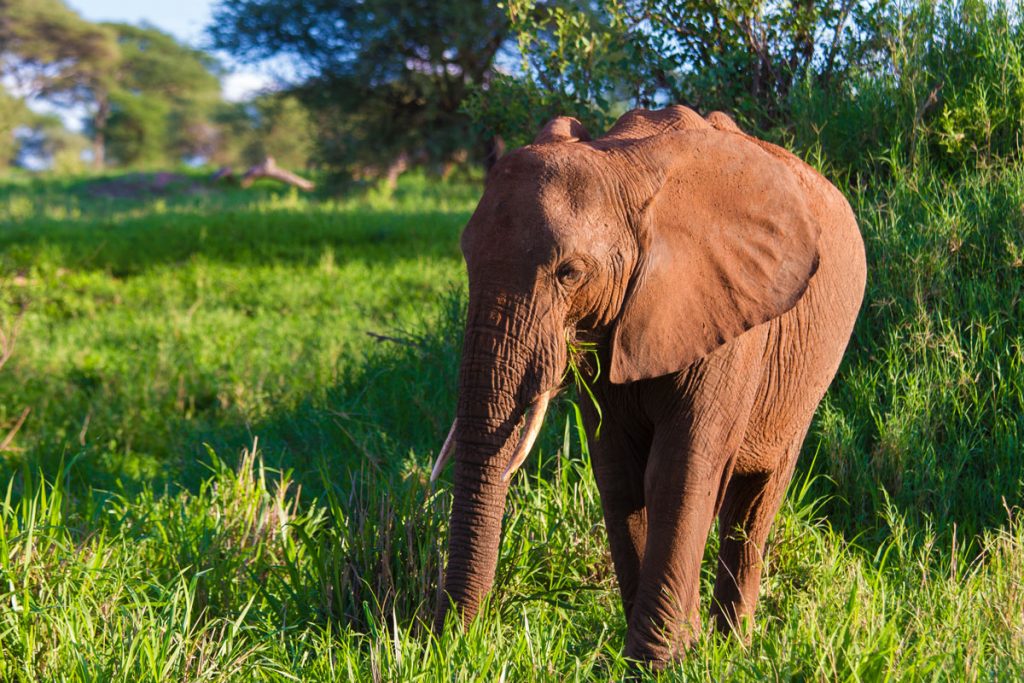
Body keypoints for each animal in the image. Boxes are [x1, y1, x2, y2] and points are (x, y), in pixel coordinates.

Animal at [428, 105, 868, 667]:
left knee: (753, 505)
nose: (451, 643)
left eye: (570, 273)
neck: (623, 167)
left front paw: (656, 662)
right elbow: (619, 472)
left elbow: (678, 469)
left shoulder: (730, 316)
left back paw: (734, 647)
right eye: (466, 259)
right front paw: (658, 654)